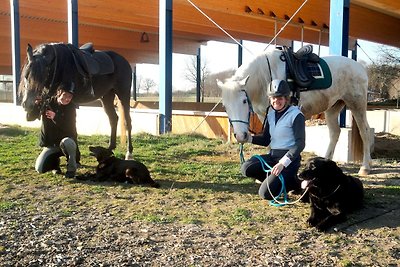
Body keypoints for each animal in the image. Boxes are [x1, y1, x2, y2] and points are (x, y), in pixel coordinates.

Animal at [219, 46, 372, 176]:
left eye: (244, 101)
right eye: (225, 106)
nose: (241, 136)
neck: (265, 77)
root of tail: (360, 67)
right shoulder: (265, 115)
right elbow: (269, 140)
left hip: (356, 104)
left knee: (365, 132)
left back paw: (365, 167)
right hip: (332, 108)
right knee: (335, 132)